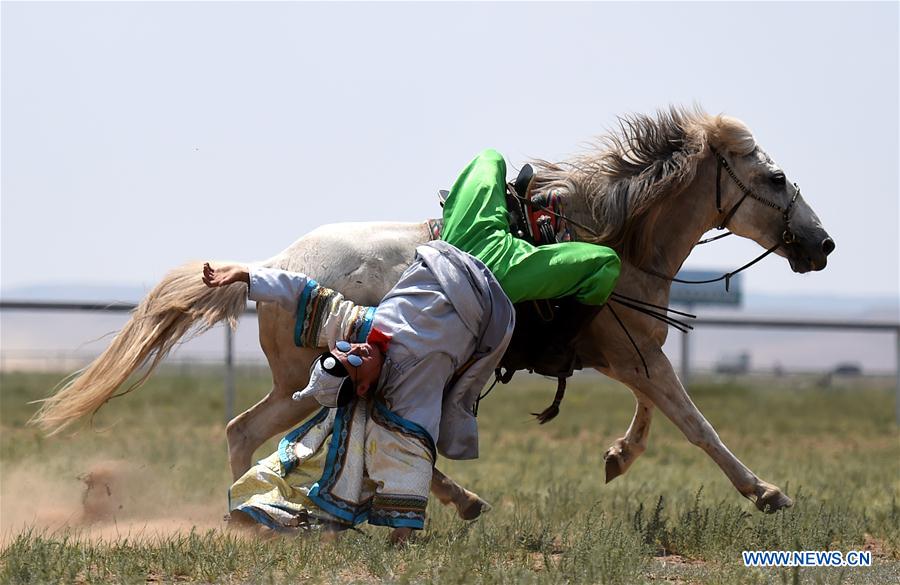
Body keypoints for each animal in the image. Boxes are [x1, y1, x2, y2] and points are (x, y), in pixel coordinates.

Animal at [33, 107, 834, 518]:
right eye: (774, 177)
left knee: (251, 427)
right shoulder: (629, 352)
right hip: (322, 371)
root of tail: (272, 266)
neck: (615, 233)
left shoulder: (625, 354)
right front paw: (765, 491)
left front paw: (617, 456)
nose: (822, 244)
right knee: (259, 428)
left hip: (301, 377)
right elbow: (693, 420)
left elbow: (656, 410)